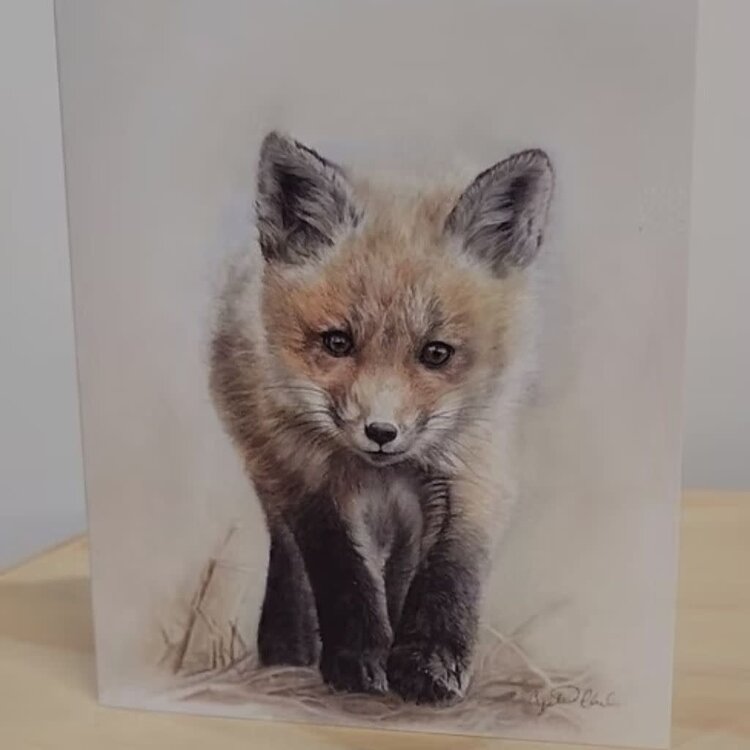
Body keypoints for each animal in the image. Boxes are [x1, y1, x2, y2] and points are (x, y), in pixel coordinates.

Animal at [210, 131, 553, 704]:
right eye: (337, 342)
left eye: (436, 353)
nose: (380, 432)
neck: (384, 470)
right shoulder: (310, 477)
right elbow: (341, 571)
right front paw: (358, 659)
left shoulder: (474, 468)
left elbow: (449, 574)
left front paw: (427, 663)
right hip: (267, 459)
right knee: (290, 555)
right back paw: (289, 648)